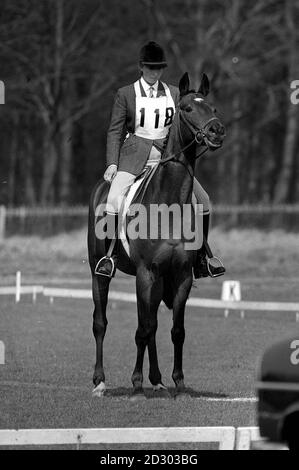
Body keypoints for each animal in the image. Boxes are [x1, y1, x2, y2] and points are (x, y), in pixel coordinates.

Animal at [88, 71, 226, 398]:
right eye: (186, 109)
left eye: (212, 108)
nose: (217, 131)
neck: (169, 203)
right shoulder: (146, 272)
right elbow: (142, 328)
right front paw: (137, 385)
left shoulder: (181, 275)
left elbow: (176, 330)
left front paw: (179, 383)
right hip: (100, 272)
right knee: (102, 322)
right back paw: (101, 382)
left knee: (152, 324)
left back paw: (157, 379)